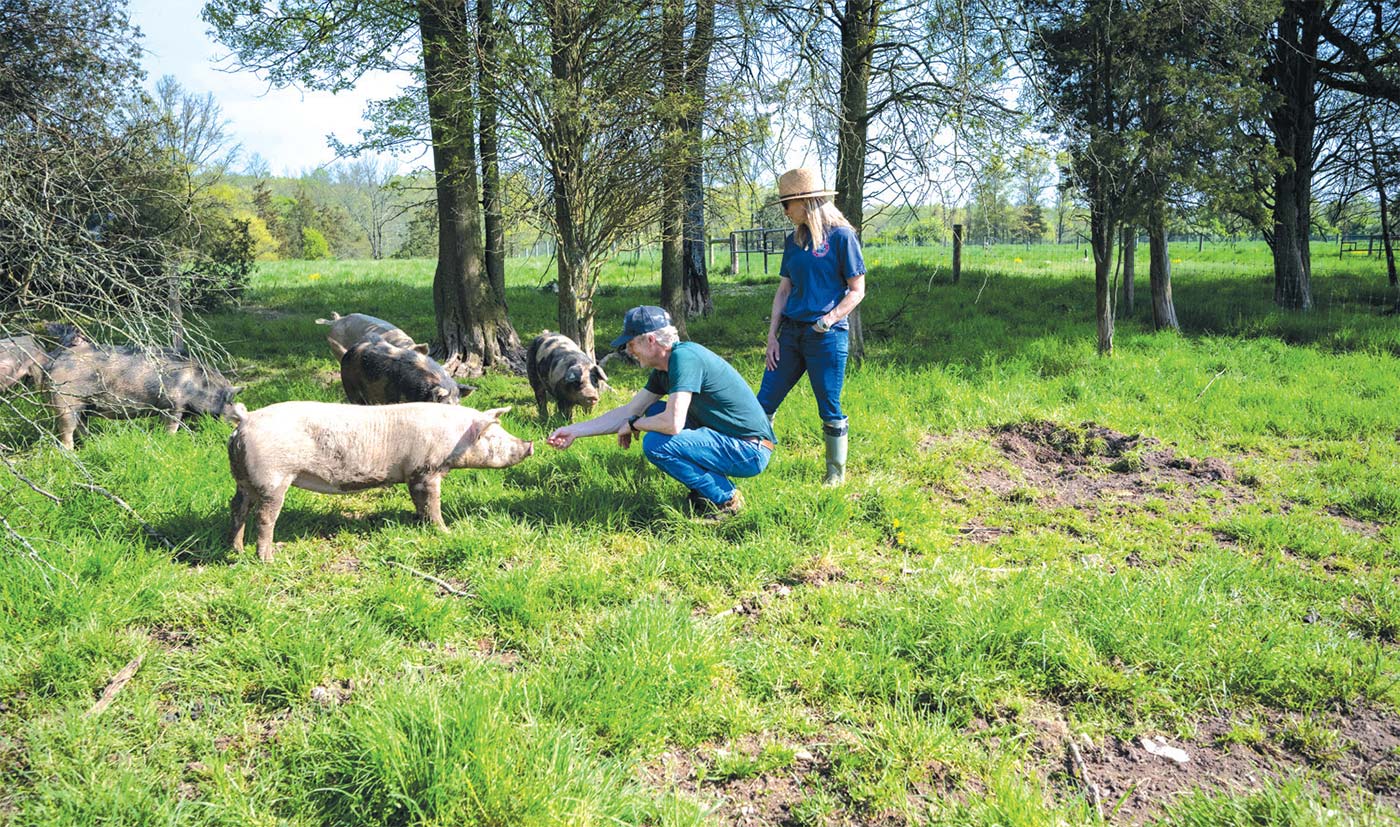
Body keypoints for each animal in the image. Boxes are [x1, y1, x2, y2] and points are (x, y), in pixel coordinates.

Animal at [44, 340, 243, 450]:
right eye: (233, 406)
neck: (198, 385)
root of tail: (53, 361)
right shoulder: (173, 405)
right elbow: (172, 427)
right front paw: (170, 441)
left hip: (84, 405)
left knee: (81, 426)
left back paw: (93, 443)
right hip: (65, 400)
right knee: (67, 430)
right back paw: (70, 453)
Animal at [226, 400, 532, 562]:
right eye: (493, 436)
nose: (529, 445)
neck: (452, 439)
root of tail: (245, 420)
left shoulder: (413, 475)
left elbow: (419, 503)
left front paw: (420, 524)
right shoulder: (427, 471)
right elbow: (433, 504)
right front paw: (446, 531)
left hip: (244, 480)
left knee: (237, 507)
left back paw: (236, 550)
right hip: (272, 478)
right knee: (265, 517)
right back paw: (268, 559)